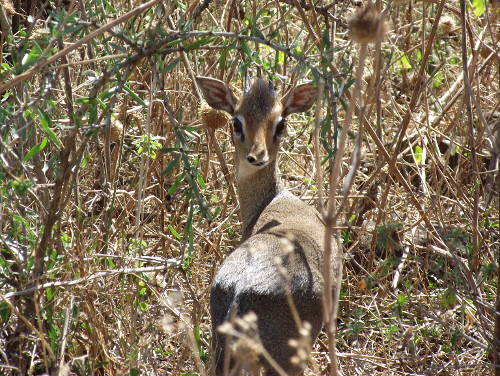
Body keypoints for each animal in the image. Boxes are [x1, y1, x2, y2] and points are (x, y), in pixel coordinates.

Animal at [197, 75, 338, 374]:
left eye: (280, 122)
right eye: (236, 121)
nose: (257, 155)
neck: (273, 199)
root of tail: (241, 288)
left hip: (224, 351)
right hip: (285, 359)